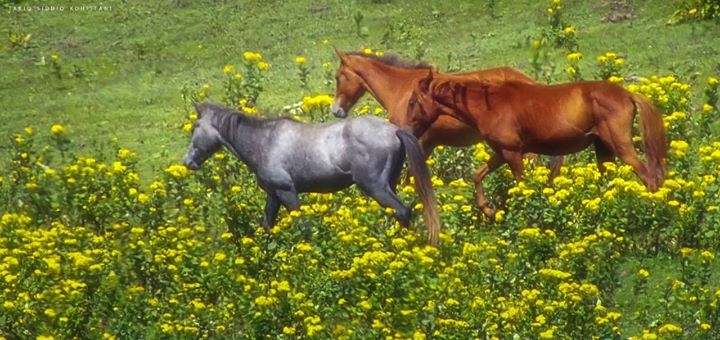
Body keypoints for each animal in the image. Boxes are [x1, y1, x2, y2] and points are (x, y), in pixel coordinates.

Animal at [183, 102, 442, 246]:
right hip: (389, 183)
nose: (188, 162)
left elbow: (303, 228)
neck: (265, 142)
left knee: (403, 211)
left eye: (196, 127)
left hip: (375, 186)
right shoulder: (273, 195)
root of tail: (394, 130)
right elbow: (267, 225)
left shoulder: (287, 192)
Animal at [408, 71, 668, 218]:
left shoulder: (513, 154)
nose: (409, 130)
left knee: (649, 177)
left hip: (620, 146)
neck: (489, 106)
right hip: (603, 149)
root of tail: (627, 94)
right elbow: (477, 175)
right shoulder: (501, 153)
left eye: (412, 102)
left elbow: (522, 185)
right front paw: (488, 210)